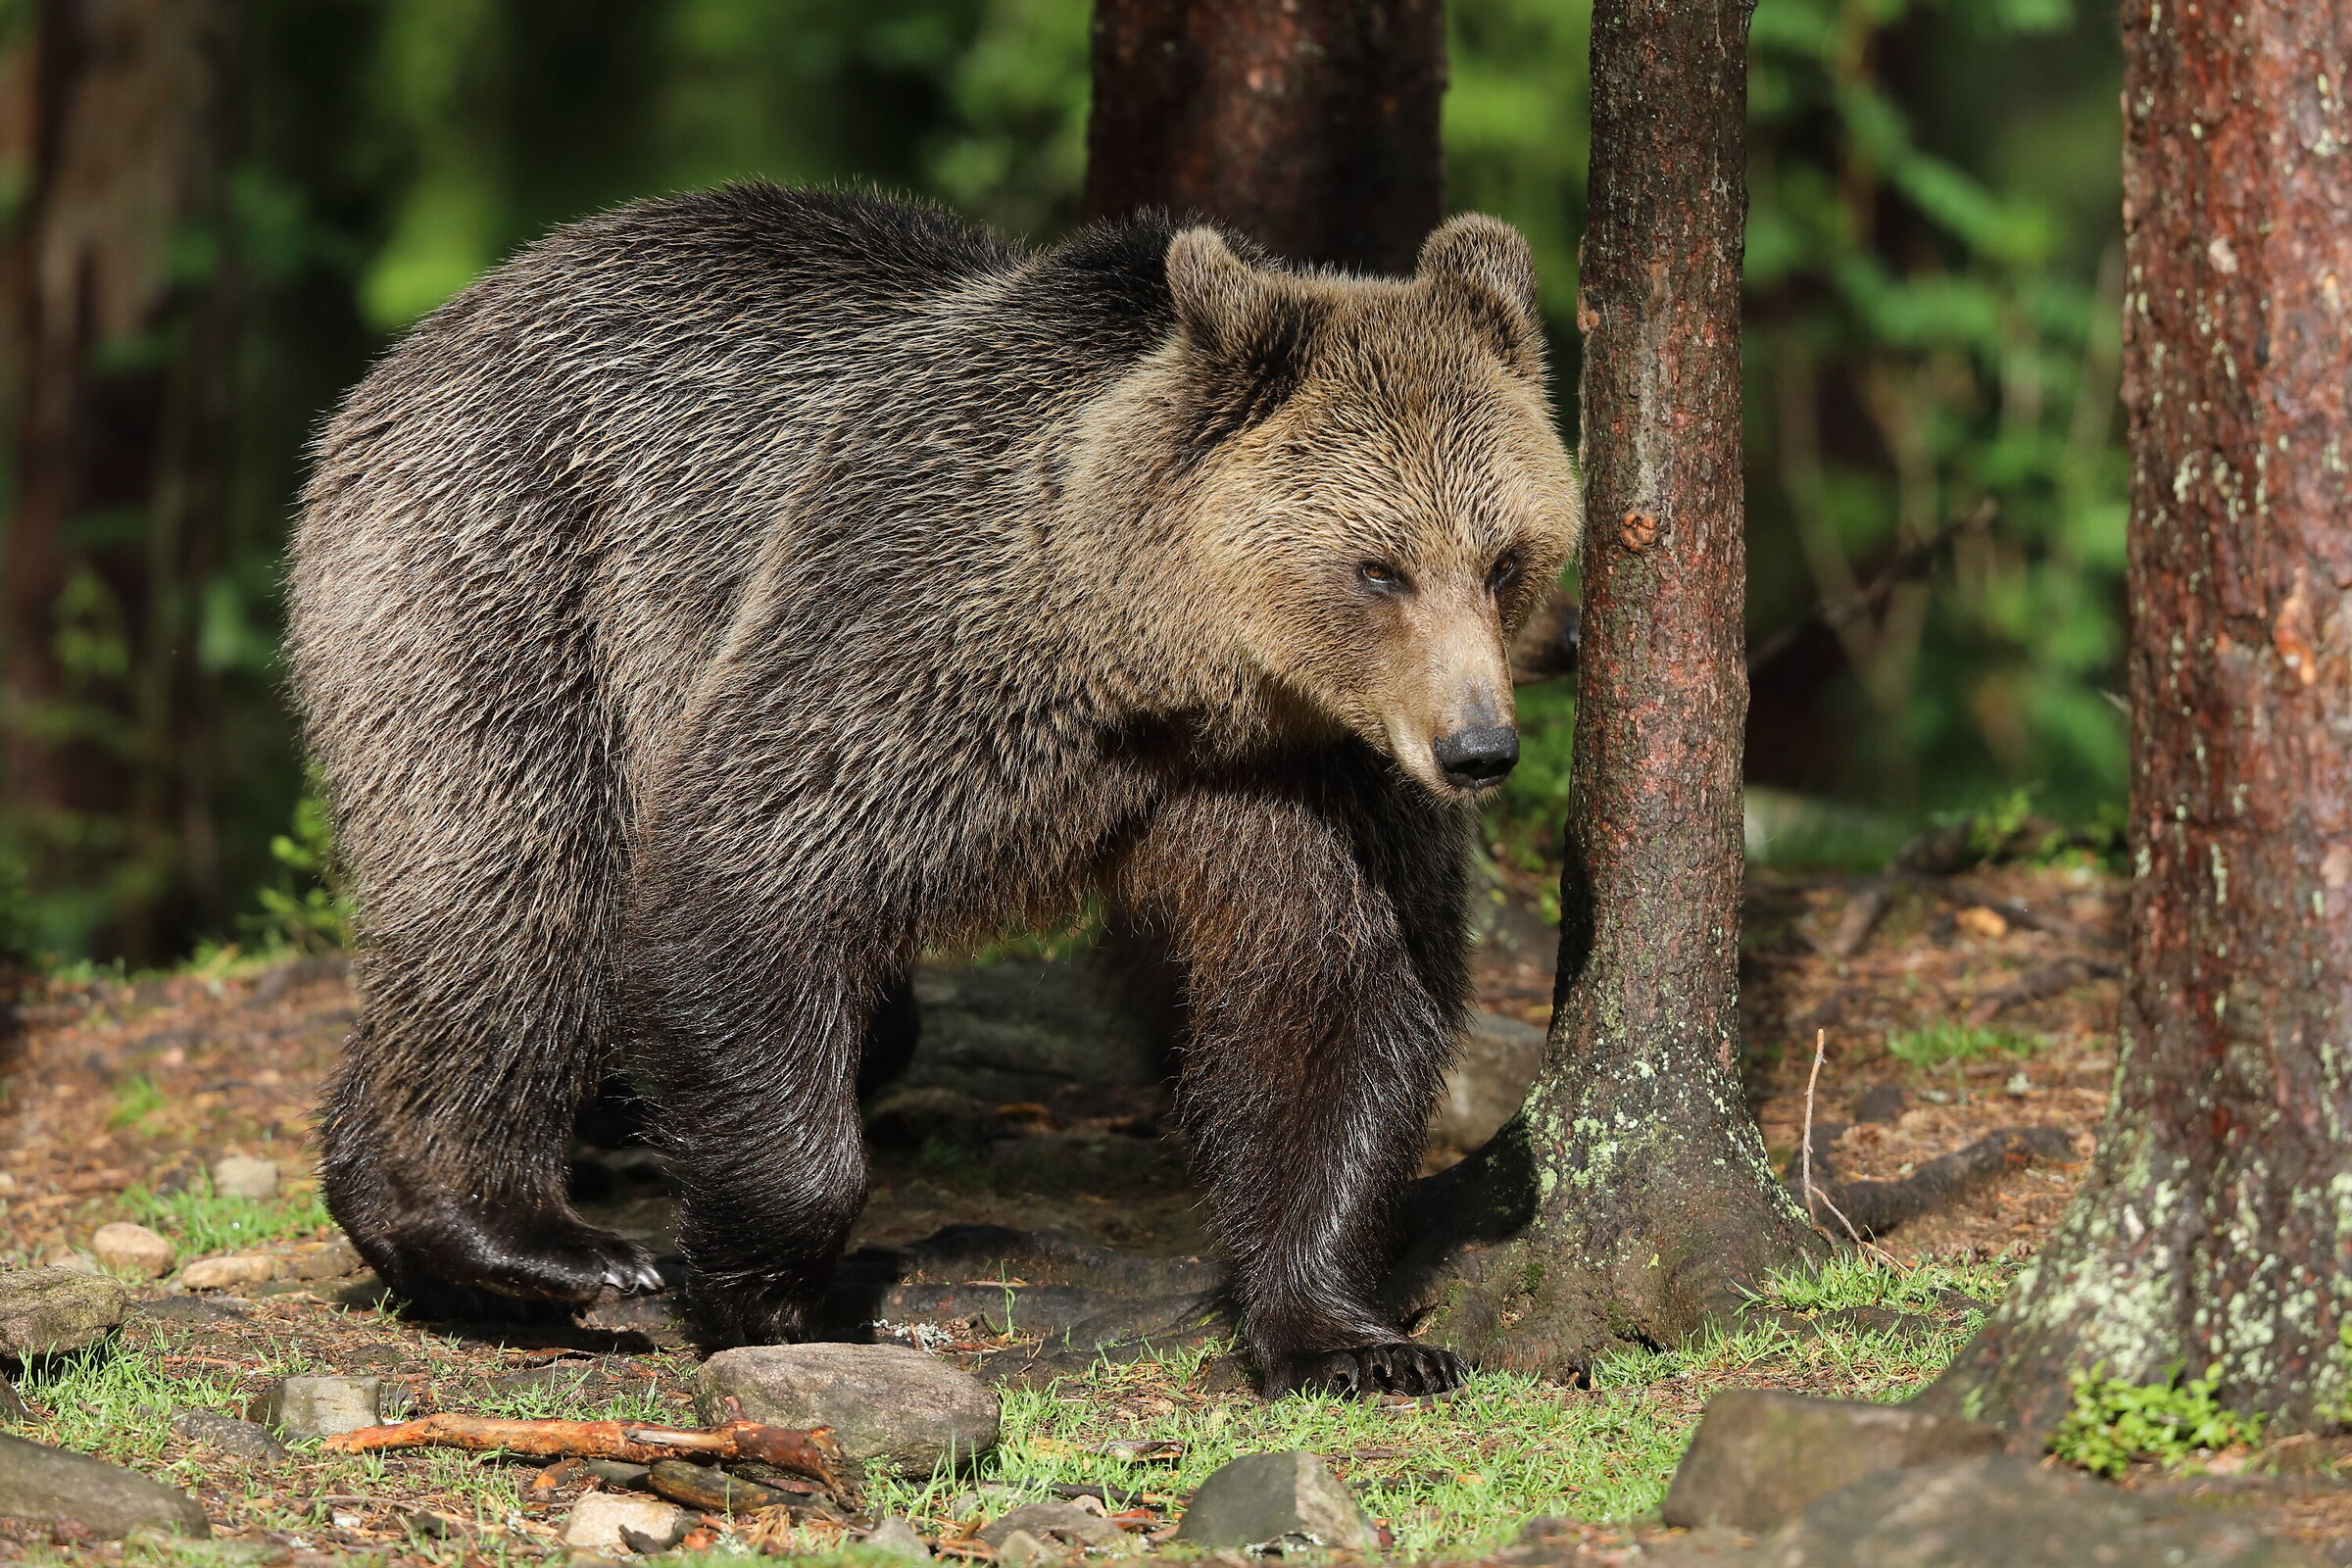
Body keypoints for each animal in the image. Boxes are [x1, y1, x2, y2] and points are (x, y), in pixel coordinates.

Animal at [286, 184, 1581, 1397]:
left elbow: (1334, 997)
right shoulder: (923, 645)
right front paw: (753, 1282)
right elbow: (754, 867)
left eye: (1504, 557)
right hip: (518, 577)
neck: (1169, 662)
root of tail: (445, 325)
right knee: (523, 887)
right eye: (1379, 568)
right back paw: (524, 1231)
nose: (1478, 749)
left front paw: (1349, 1336)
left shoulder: (1311, 780)